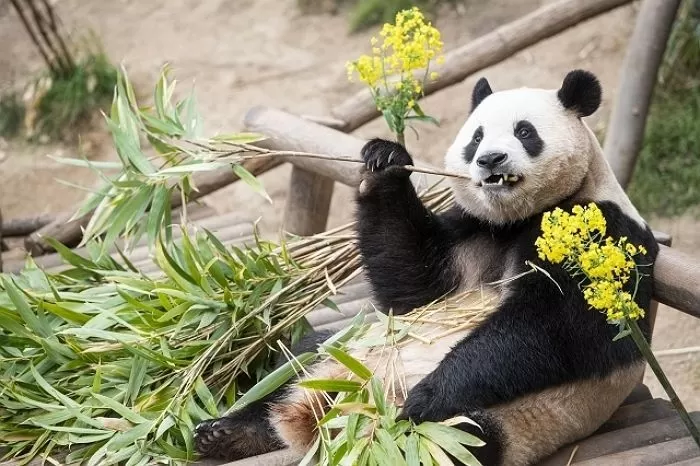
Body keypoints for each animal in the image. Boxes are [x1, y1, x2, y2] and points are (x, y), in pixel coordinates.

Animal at [194, 70, 660, 466]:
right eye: (476, 137)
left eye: (525, 132)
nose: (490, 159)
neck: (517, 218)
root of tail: (331, 411)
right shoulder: (473, 230)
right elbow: (413, 284)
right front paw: (383, 161)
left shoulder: (598, 232)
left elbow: (549, 327)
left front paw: (424, 398)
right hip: (349, 345)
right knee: (297, 358)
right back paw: (227, 433)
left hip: (506, 423)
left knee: (455, 439)